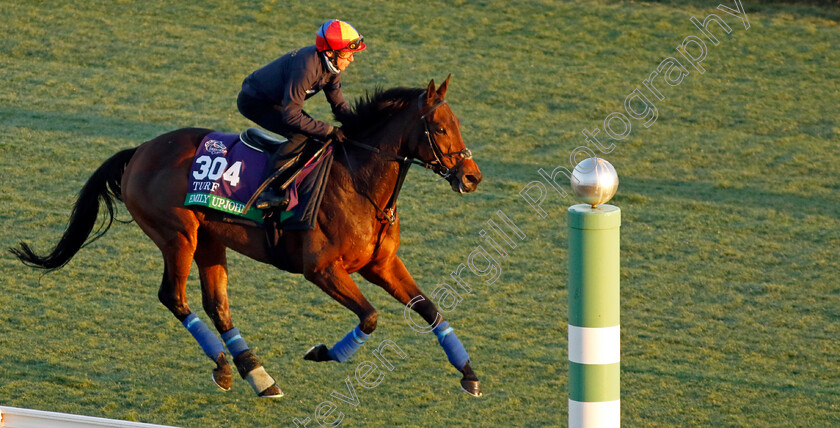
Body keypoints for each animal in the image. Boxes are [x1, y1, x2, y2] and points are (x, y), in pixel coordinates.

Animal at [11, 76, 486, 398]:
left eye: (458, 123)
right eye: (439, 128)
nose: (472, 176)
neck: (359, 182)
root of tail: (141, 150)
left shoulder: (380, 264)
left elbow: (431, 310)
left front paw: (470, 374)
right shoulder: (321, 269)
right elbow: (369, 317)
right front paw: (321, 352)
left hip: (209, 241)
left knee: (216, 305)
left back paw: (257, 374)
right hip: (177, 235)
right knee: (174, 297)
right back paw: (225, 367)